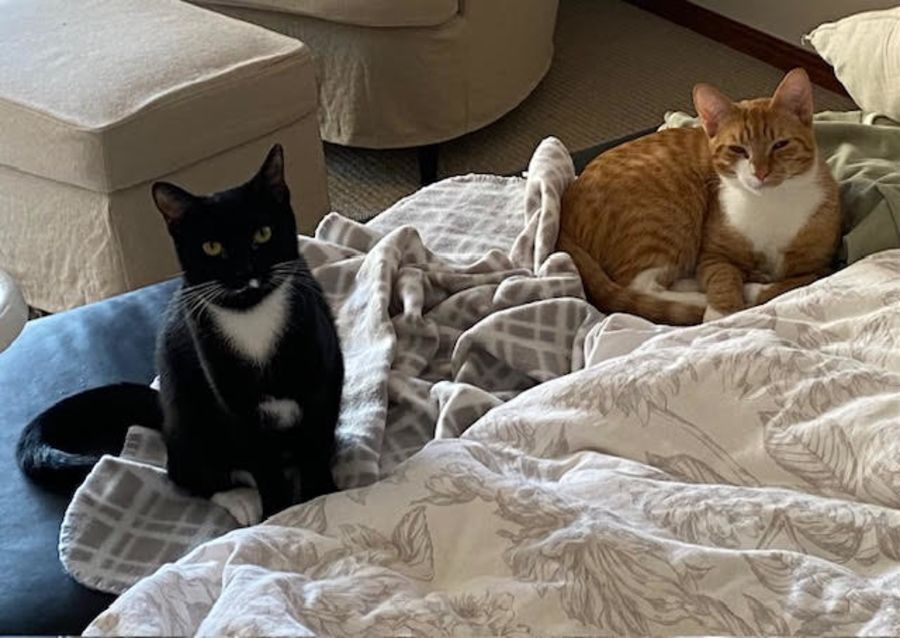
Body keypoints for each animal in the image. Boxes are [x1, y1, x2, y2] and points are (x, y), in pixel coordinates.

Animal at [17, 145, 344, 518]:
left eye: (263, 233)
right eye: (212, 247)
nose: (245, 271)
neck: (253, 319)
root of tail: (165, 413)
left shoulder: (321, 382)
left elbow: (315, 448)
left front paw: (322, 495)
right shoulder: (231, 402)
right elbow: (263, 465)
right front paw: (275, 512)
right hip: (189, 412)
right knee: (186, 471)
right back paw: (239, 498)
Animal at [558, 68, 841, 325]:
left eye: (780, 144)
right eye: (738, 149)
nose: (760, 172)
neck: (770, 203)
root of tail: (566, 209)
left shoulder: (820, 267)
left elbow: (792, 284)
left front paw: (751, 289)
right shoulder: (714, 253)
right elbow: (724, 278)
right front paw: (724, 309)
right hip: (669, 214)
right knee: (638, 286)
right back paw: (701, 297)